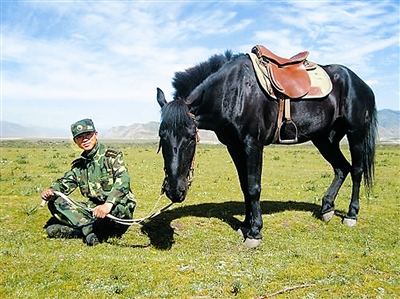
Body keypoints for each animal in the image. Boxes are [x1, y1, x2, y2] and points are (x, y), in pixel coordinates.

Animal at [155, 51, 376, 248]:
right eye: (161, 136)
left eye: (191, 136)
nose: (174, 191)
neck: (233, 91)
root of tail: (361, 84)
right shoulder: (235, 147)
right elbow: (245, 186)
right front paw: (246, 223)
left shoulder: (253, 144)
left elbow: (254, 187)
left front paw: (255, 232)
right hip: (325, 139)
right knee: (341, 168)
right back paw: (327, 208)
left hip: (355, 133)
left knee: (356, 171)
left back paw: (351, 215)